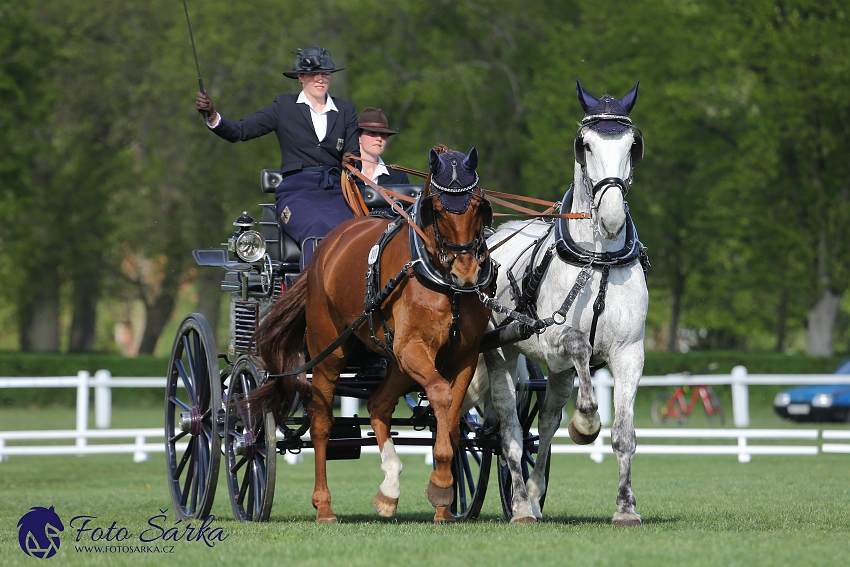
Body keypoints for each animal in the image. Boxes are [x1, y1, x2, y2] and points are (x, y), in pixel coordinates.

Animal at [248, 145, 494, 524]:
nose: (465, 271)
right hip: (330, 351)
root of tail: (325, 247)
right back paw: (324, 506)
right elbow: (440, 394)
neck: (441, 282)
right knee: (322, 423)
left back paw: (389, 489)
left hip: (394, 359)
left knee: (379, 404)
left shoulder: (463, 356)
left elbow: (452, 420)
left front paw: (443, 501)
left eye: (479, 204)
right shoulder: (413, 348)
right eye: (438, 208)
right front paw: (441, 485)